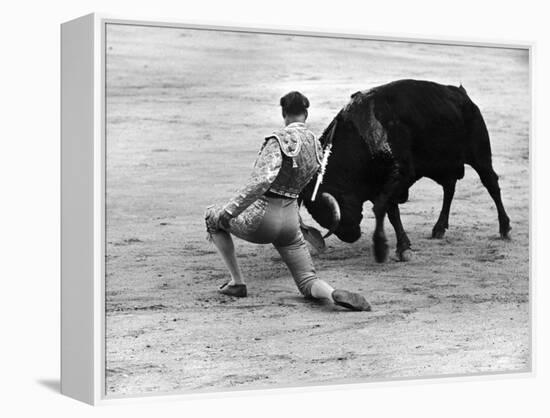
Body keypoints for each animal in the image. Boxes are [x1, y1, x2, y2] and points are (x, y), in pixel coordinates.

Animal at [302, 78, 512, 262]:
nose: (349, 236)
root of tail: (461, 94)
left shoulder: (400, 175)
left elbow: (381, 208)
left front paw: (382, 248)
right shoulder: (382, 184)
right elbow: (392, 213)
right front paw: (403, 247)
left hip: (480, 156)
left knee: (491, 184)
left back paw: (505, 229)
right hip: (441, 166)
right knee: (449, 188)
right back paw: (439, 228)